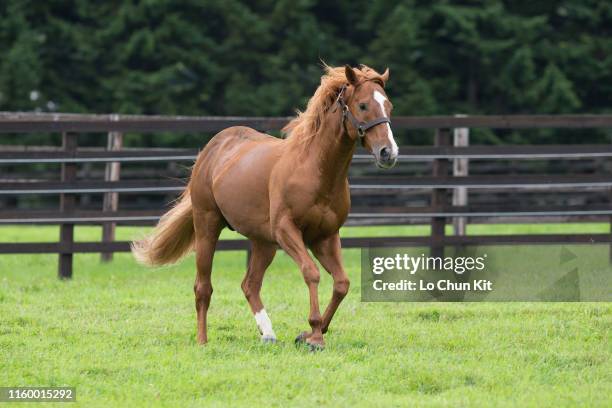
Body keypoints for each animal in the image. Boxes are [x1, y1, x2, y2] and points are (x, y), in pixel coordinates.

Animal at [133, 64, 396, 350]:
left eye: (388, 106)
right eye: (362, 105)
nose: (388, 153)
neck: (314, 169)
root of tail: (212, 148)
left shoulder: (325, 237)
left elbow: (342, 283)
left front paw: (308, 334)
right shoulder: (286, 231)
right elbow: (311, 273)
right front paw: (315, 334)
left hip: (263, 242)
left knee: (250, 284)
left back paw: (268, 334)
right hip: (207, 226)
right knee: (203, 287)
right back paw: (203, 340)